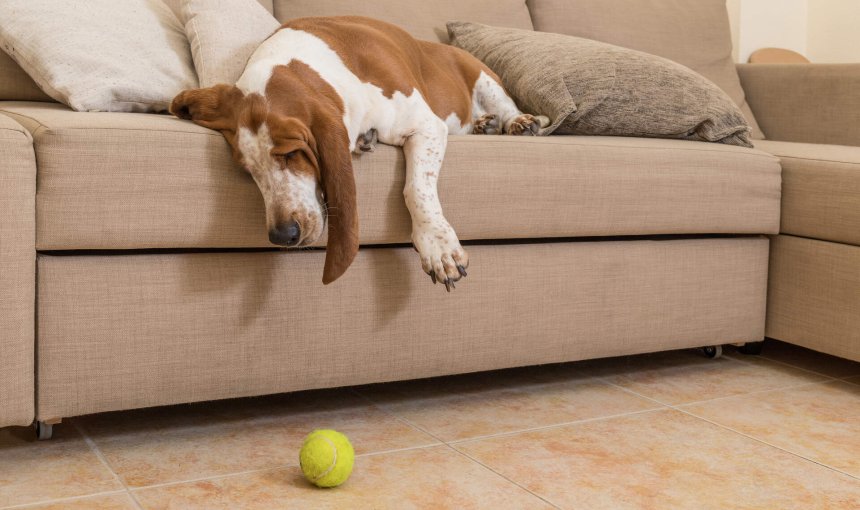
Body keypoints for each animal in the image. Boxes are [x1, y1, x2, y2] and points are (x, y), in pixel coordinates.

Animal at [171, 15, 548, 290]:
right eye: (249, 170)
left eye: (291, 154)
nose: (282, 236)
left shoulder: (426, 125)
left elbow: (416, 188)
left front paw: (438, 247)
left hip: (484, 78)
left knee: (505, 105)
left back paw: (516, 122)